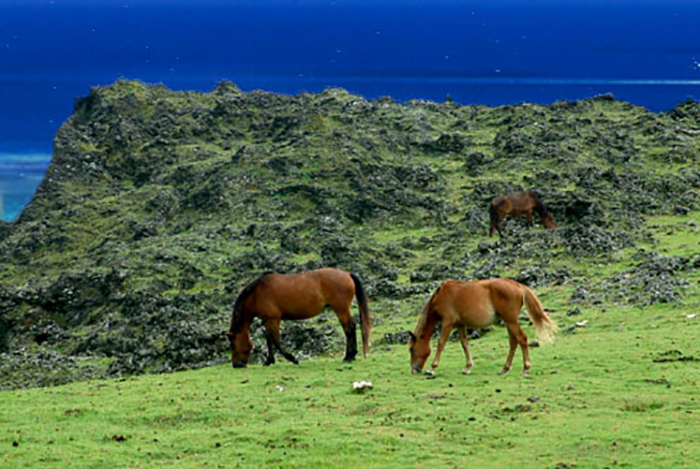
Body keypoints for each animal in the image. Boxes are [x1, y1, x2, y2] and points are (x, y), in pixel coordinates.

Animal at [227, 268, 372, 368]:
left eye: (233, 344)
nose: (236, 365)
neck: (257, 293)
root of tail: (347, 274)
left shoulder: (273, 319)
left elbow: (275, 340)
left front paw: (292, 358)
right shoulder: (267, 320)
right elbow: (269, 339)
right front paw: (269, 361)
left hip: (341, 309)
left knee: (349, 328)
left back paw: (349, 356)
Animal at [408, 278, 556, 376]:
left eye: (411, 349)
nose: (414, 370)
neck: (441, 296)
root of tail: (517, 285)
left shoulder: (448, 323)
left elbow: (441, 343)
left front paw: (432, 368)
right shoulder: (460, 325)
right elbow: (464, 344)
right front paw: (467, 367)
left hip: (511, 321)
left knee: (522, 339)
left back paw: (525, 368)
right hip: (509, 322)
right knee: (513, 342)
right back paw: (505, 368)